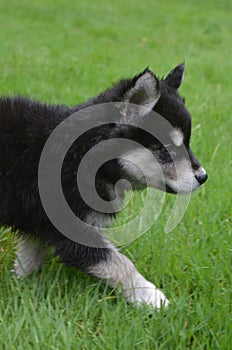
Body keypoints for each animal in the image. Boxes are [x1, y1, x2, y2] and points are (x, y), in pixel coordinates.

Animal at [0, 64, 207, 308]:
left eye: (187, 144)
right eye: (167, 150)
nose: (203, 176)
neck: (83, 157)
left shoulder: (38, 221)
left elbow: (30, 256)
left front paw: (23, 285)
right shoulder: (72, 228)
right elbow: (121, 263)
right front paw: (151, 297)